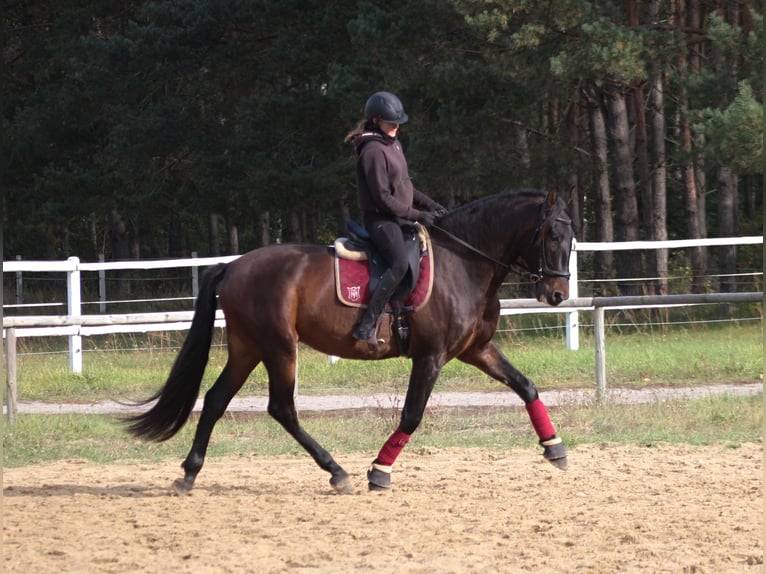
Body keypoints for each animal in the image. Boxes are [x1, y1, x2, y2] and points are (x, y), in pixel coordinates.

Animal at [126, 187, 574, 494]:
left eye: (571, 238)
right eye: (552, 236)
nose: (557, 294)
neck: (463, 262)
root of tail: (233, 265)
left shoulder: (475, 350)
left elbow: (525, 386)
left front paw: (554, 447)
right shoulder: (430, 356)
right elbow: (411, 415)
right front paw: (379, 471)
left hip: (247, 347)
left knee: (217, 400)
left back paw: (190, 472)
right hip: (279, 347)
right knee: (281, 408)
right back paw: (336, 471)